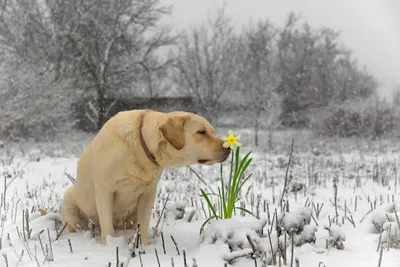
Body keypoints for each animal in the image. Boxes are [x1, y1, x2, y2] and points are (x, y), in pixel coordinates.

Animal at [57, 109, 230, 247]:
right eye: (201, 132)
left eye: (212, 131)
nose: (227, 148)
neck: (140, 147)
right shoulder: (105, 190)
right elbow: (107, 224)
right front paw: (110, 245)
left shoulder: (148, 193)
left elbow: (144, 223)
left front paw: (143, 245)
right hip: (68, 201)